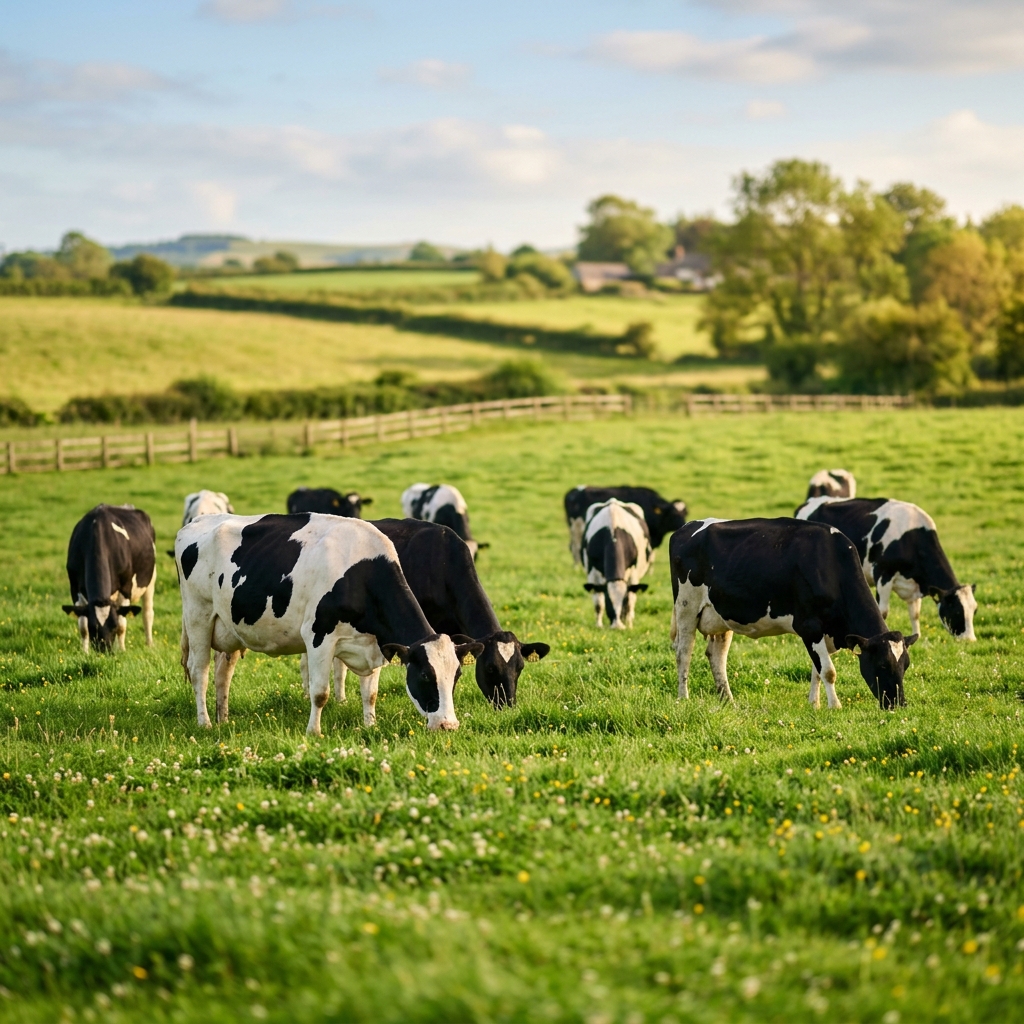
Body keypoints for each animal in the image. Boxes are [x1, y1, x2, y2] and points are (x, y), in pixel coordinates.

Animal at [63, 505, 156, 653]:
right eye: (93, 627)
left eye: (113, 626)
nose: (105, 650)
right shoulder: (74, 587)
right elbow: (82, 626)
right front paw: (85, 652)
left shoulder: (126, 587)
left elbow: (122, 624)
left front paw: (122, 650)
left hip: (151, 579)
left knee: (147, 613)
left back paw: (149, 644)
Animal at [175, 512, 482, 735]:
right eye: (425, 676)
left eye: (456, 676)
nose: (448, 725)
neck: (361, 574)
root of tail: (197, 521)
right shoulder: (318, 637)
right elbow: (320, 693)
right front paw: (314, 732)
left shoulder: (374, 644)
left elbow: (370, 694)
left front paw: (370, 726)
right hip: (198, 615)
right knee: (199, 672)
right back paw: (205, 723)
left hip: (229, 630)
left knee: (222, 675)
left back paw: (223, 719)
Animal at [582, 499, 652, 629]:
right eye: (608, 601)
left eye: (623, 600)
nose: (617, 627)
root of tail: (613, 501)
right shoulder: (592, 573)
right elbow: (598, 603)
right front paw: (598, 625)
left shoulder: (633, 574)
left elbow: (630, 601)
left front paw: (629, 625)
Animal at [670, 517, 916, 710]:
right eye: (882, 664)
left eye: (906, 665)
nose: (898, 704)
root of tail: (686, 527)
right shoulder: (810, 627)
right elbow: (828, 671)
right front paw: (835, 706)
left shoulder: (823, 633)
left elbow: (817, 670)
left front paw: (814, 704)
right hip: (686, 607)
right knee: (684, 653)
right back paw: (683, 698)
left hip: (721, 616)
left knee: (717, 655)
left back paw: (728, 700)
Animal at [795, 496, 977, 641]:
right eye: (957, 611)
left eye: (974, 611)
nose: (970, 640)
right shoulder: (883, 574)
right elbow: (882, 611)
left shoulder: (914, 584)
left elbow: (915, 614)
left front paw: (918, 637)